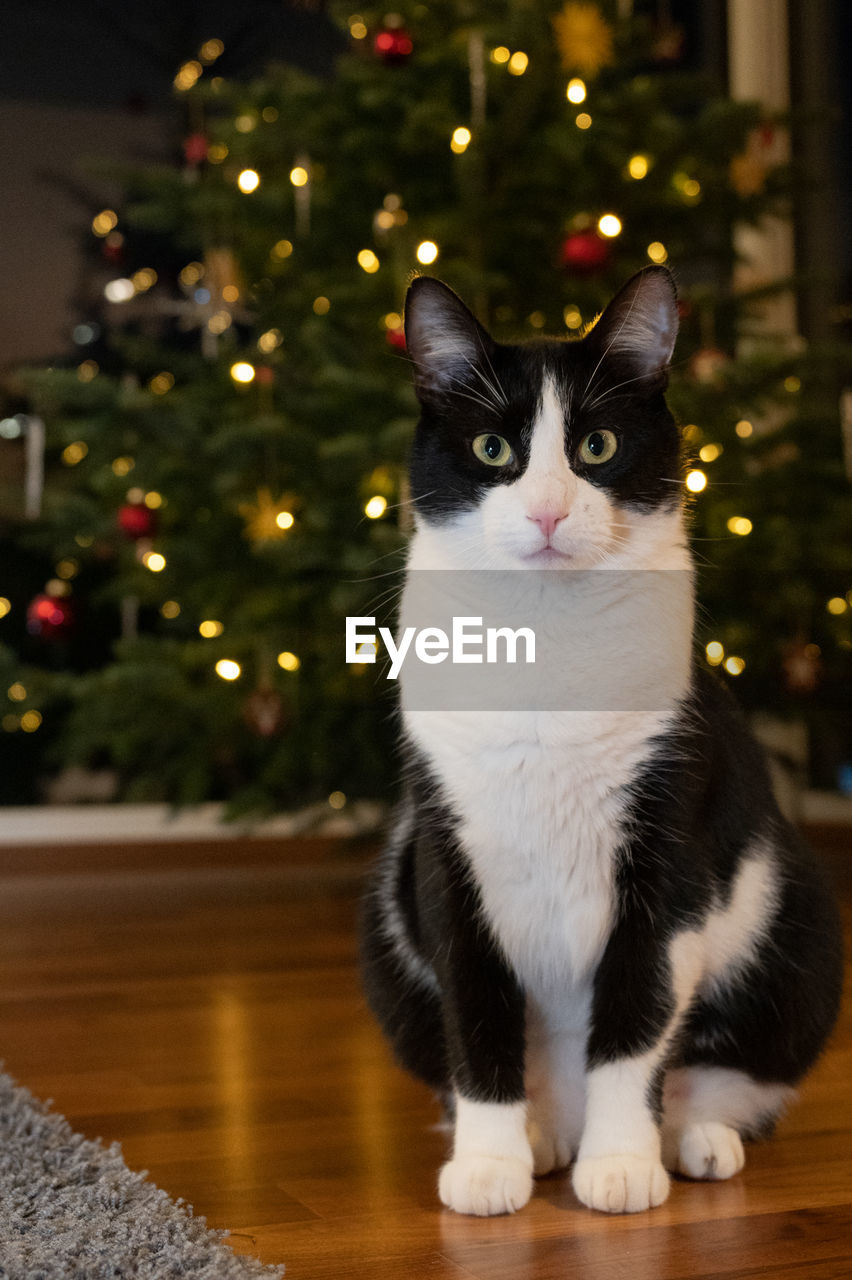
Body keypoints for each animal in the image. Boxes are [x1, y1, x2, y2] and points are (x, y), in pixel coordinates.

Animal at [355, 264, 834, 1213]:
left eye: (598, 447)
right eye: (492, 451)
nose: (546, 511)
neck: (545, 644)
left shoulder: (668, 851)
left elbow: (634, 1020)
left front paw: (620, 1164)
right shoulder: (446, 852)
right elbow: (478, 1017)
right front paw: (489, 1163)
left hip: (802, 921)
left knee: (718, 1072)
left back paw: (686, 1139)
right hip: (387, 919)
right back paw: (539, 1139)